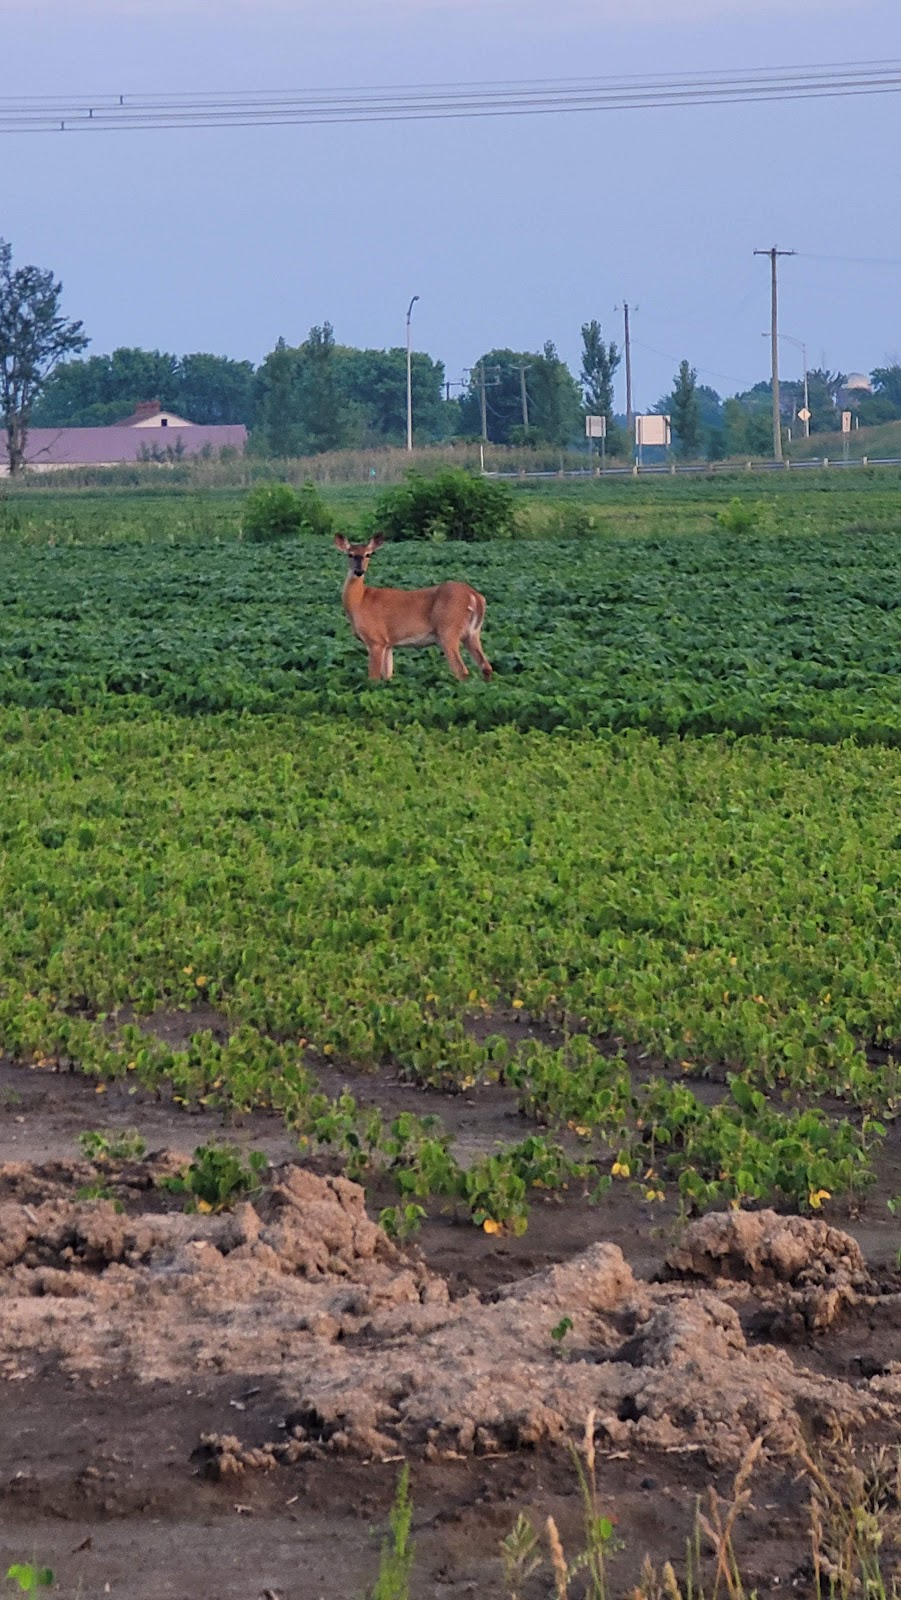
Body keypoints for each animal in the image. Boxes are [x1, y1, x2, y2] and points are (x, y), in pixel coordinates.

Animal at [336, 534, 492, 684]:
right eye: (350, 554)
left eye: (368, 554)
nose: (359, 571)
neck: (360, 601)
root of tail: (475, 596)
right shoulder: (388, 643)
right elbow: (388, 675)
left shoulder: (375, 639)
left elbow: (373, 679)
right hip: (472, 633)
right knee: (486, 667)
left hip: (448, 631)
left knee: (462, 670)